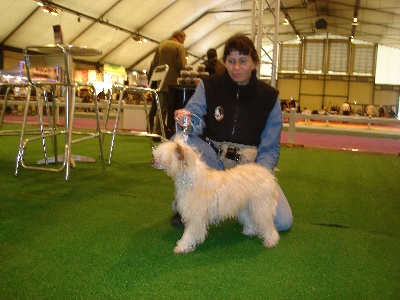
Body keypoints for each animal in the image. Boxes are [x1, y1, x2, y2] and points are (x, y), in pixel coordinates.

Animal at [152, 137, 280, 254]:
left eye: (162, 156)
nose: (152, 162)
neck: (192, 180)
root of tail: (266, 173)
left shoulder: (195, 217)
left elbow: (189, 234)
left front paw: (182, 246)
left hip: (261, 207)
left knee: (267, 225)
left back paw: (271, 240)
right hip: (245, 207)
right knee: (250, 220)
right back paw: (249, 231)